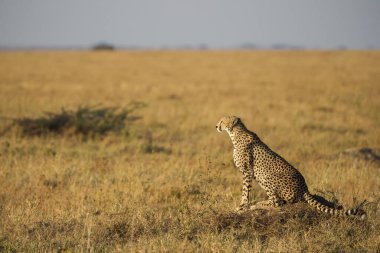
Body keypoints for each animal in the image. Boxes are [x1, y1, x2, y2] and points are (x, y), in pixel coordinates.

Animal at [215, 115, 366, 217]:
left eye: (222, 121)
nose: (216, 126)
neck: (235, 133)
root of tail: (305, 188)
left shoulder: (247, 172)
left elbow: (245, 191)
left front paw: (242, 207)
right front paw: (243, 206)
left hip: (267, 177)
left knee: (277, 203)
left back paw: (257, 205)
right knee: (280, 202)